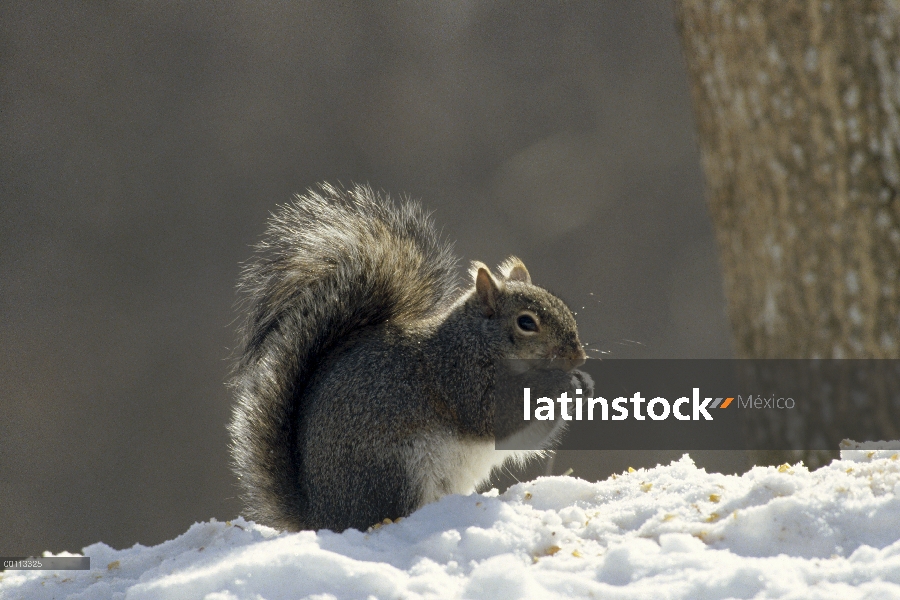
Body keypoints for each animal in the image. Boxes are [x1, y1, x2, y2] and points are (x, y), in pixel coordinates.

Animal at [229, 183, 592, 528]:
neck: (475, 340)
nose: (578, 357)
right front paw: (561, 383)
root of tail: (321, 517)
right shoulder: (459, 377)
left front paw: (583, 385)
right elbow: (497, 413)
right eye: (526, 323)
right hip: (395, 469)